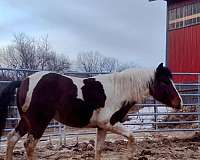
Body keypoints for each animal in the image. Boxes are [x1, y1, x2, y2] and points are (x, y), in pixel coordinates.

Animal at [0, 62, 182, 160]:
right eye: (164, 82)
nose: (179, 103)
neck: (119, 90)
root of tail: (24, 81)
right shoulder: (110, 123)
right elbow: (131, 137)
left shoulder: (101, 127)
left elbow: (98, 149)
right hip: (39, 123)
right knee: (29, 145)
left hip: (26, 121)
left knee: (12, 139)